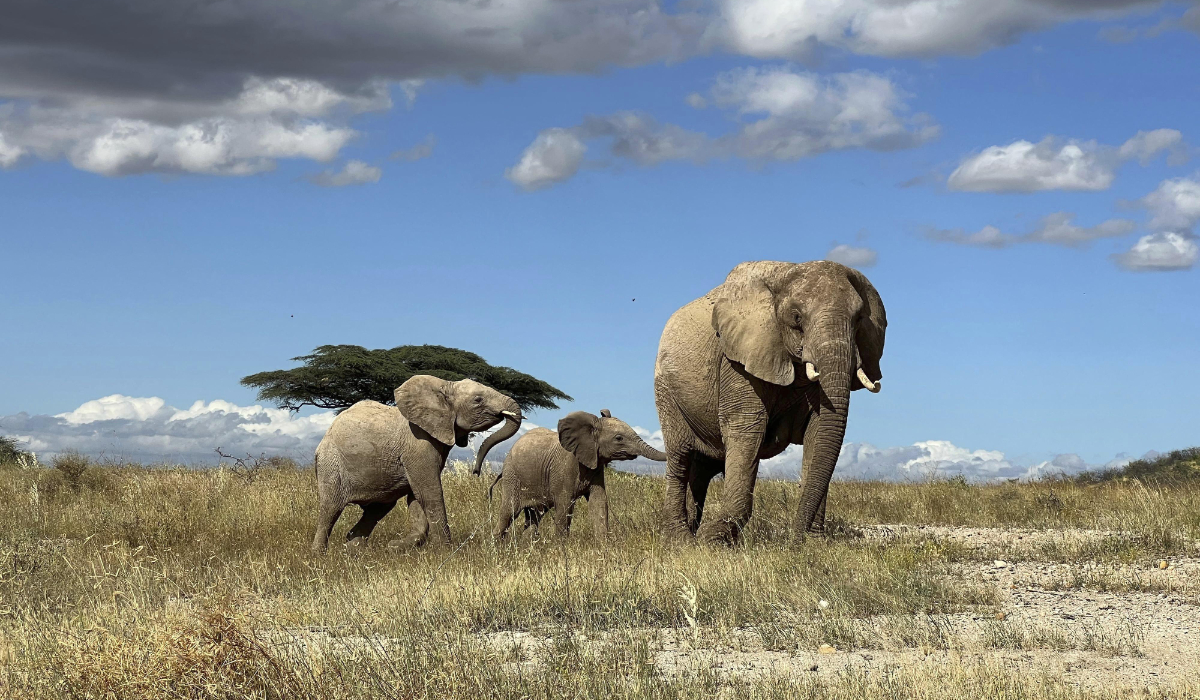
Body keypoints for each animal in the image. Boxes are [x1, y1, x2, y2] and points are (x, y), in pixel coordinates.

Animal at [311, 374, 522, 552]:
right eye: (478, 400)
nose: (475, 472)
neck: (445, 386)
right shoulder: (418, 443)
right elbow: (429, 491)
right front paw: (445, 550)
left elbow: (416, 495)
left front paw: (397, 546)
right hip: (331, 463)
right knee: (330, 508)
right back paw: (320, 555)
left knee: (377, 509)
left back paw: (354, 551)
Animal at [490, 409, 666, 541]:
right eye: (619, 438)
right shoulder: (565, 467)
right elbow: (565, 505)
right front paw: (561, 548)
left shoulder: (595, 465)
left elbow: (599, 501)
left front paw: (603, 546)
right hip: (512, 477)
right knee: (509, 512)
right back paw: (497, 547)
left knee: (534, 515)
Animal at [654, 260, 886, 545]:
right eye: (797, 318)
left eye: (859, 319)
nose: (795, 541)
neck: (787, 273)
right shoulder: (737, 362)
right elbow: (746, 429)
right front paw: (713, 540)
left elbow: (819, 434)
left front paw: (815, 543)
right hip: (666, 389)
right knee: (680, 456)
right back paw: (681, 539)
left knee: (702, 467)